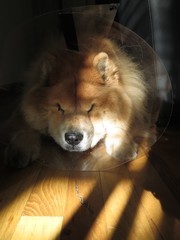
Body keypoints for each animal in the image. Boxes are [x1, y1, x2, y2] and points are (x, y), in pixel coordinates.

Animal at [3, 36, 156, 170]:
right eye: (59, 107)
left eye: (91, 108)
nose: (73, 138)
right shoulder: (23, 105)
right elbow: (24, 127)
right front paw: (19, 152)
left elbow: (121, 121)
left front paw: (122, 147)